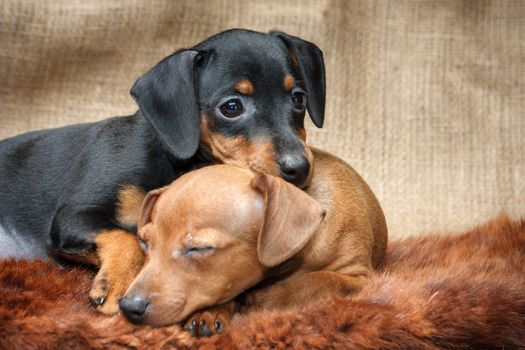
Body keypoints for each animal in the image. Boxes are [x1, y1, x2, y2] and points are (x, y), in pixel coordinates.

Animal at [0, 29, 324, 314]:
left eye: (298, 99)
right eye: (231, 107)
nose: (299, 168)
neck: (178, 163)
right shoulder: (73, 216)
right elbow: (127, 236)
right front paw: (118, 282)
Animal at [121, 147, 386, 334]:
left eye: (199, 248)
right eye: (144, 242)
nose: (128, 307)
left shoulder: (359, 277)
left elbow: (317, 280)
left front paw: (264, 297)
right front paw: (210, 313)